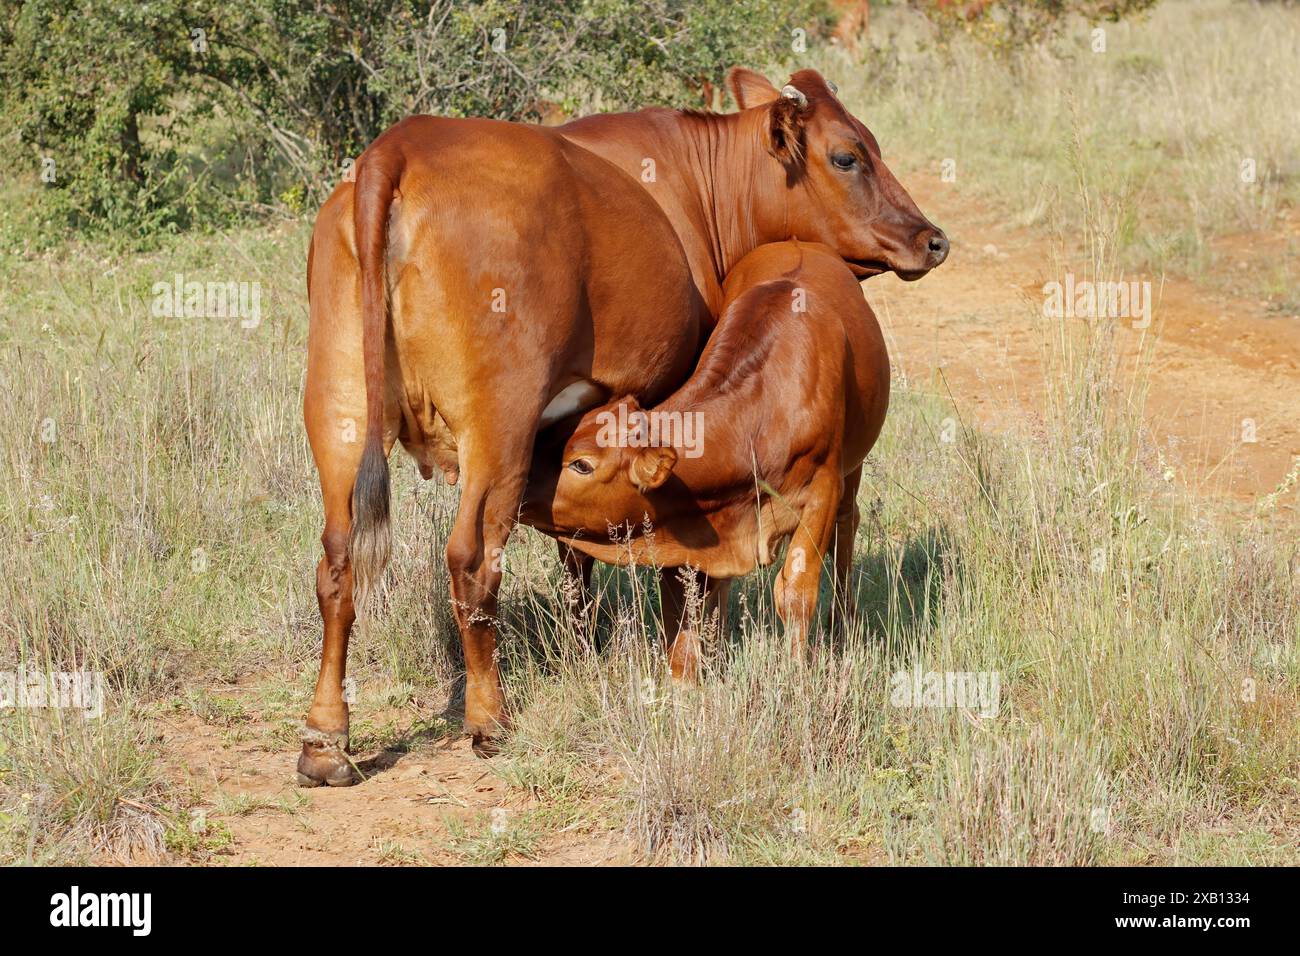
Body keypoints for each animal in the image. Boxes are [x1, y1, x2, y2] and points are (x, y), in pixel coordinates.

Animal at [297, 65, 941, 785]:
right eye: (847, 156)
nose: (932, 238)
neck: (697, 185)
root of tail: (401, 146)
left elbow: (575, 551)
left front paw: (586, 648)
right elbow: (671, 558)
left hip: (340, 412)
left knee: (337, 561)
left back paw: (325, 740)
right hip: (498, 425)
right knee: (471, 559)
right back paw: (489, 717)